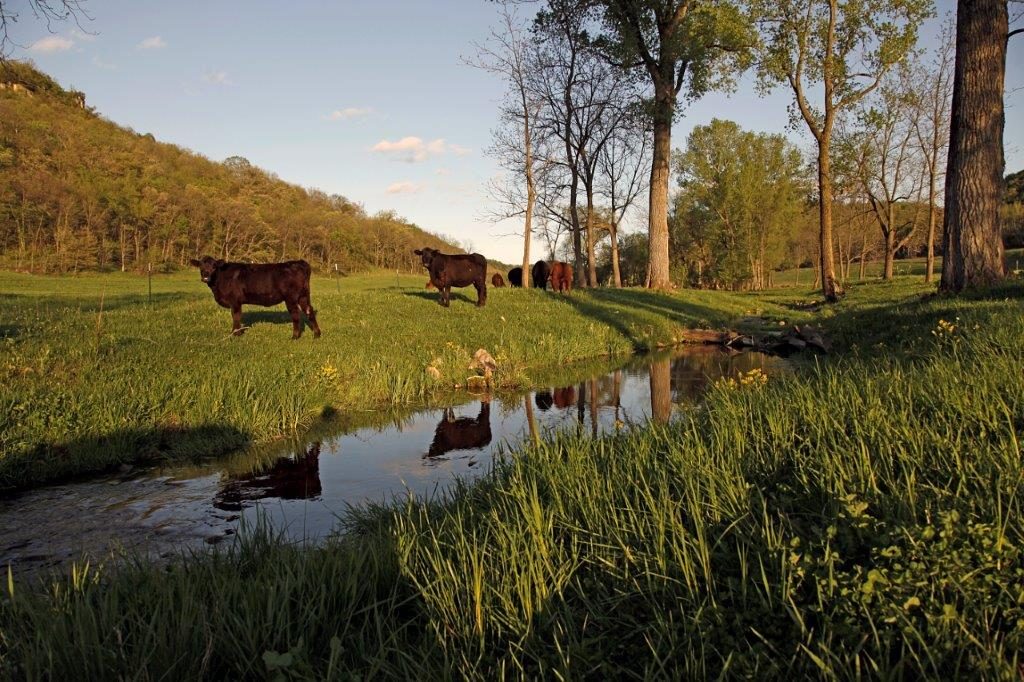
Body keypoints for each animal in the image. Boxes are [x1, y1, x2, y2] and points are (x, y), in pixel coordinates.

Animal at [188, 254, 321, 337]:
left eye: (214, 266)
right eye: (201, 265)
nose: (205, 275)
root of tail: (299, 262)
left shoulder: (234, 301)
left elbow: (236, 316)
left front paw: (235, 334)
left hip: (291, 298)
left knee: (296, 314)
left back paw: (295, 336)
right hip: (304, 296)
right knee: (309, 311)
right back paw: (316, 334)